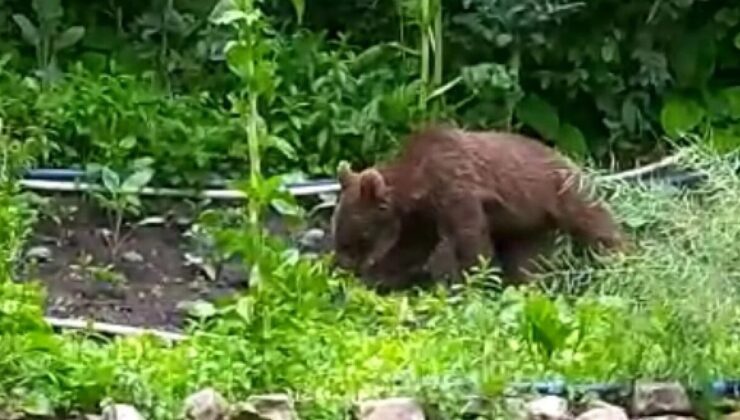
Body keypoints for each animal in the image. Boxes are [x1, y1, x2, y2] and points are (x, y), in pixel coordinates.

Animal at [330, 124, 624, 288]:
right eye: (338, 229)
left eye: (355, 236)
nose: (341, 265)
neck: (419, 185)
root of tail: (572, 159)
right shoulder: (422, 217)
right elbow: (409, 249)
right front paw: (378, 279)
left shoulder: (457, 191)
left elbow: (470, 241)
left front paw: (473, 282)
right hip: (527, 224)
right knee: (527, 259)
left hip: (561, 192)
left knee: (596, 225)